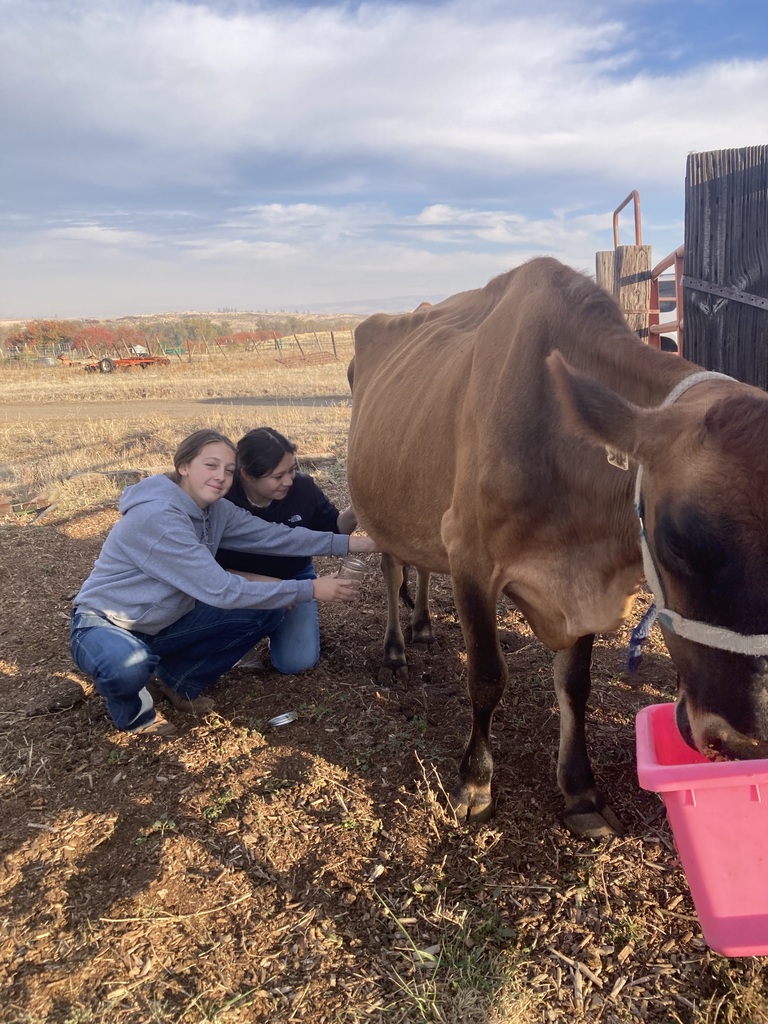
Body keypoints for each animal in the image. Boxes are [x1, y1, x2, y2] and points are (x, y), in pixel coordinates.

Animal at [346, 257, 768, 839]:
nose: (741, 742)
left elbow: (574, 685)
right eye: (675, 541)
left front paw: (581, 792)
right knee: (391, 569)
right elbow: (486, 677)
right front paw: (475, 783)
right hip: (378, 504)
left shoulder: (577, 586)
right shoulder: (469, 553)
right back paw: (394, 651)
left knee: (422, 565)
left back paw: (425, 625)